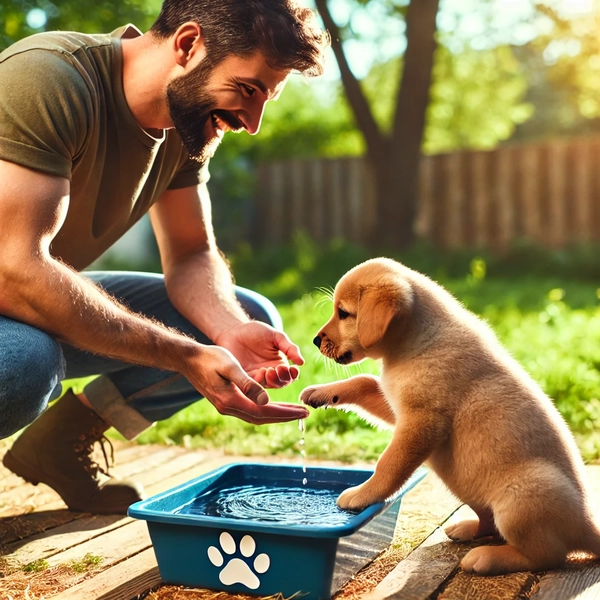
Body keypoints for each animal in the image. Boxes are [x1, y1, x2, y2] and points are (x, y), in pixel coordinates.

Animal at [302, 258, 600, 576]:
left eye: (344, 313)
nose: (315, 340)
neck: (418, 341)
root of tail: (586, 524)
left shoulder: (421, 422)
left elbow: (388, 465)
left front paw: (362, 495)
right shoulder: (397, 405)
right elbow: (364, 381)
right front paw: (321, 392)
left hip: (520, 498)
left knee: (547, 555)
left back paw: (486, 558)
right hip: (466, 485)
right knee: (490, 524)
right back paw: (468, 529)